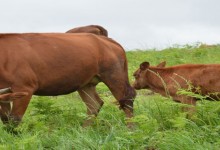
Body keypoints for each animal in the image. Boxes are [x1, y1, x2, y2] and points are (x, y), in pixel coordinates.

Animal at [0, 32, 136, 126]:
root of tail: (107, 40)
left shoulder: (25, 88)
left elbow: (14, 119)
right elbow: (5, 118)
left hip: (114, 75)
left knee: (127, 100)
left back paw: (131, 130)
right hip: (86, 83)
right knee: (94, 104)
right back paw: (83, 131)